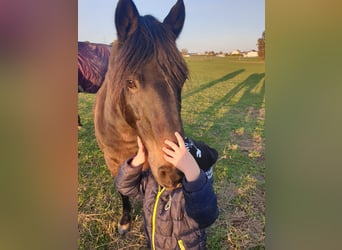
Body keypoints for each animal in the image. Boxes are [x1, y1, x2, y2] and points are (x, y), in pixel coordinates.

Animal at [93, 0, 188, 234]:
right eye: (130, 82)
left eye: (181, 78)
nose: (174, 171)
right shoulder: (114, 161)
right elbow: (123, 191)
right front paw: (125, 220)